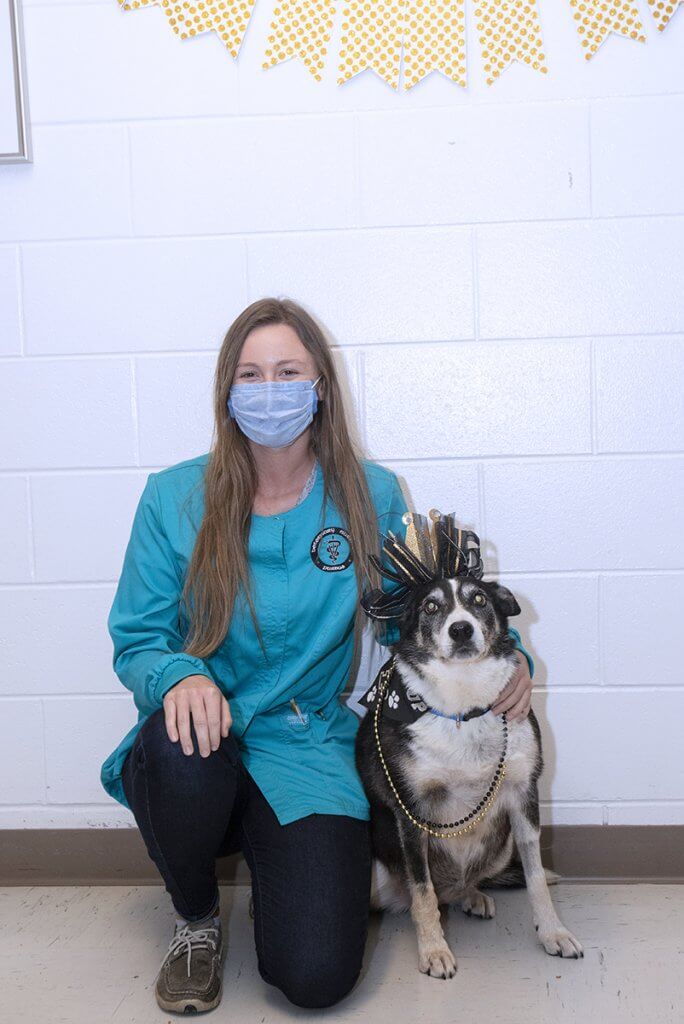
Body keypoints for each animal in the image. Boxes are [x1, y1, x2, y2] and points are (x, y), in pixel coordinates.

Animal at [356, 573, 585, 978]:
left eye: (479, 600)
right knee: (422, 895)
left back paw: (472, 895)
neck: (464, 705)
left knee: (462, 886)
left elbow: (536, 877)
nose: (461, 629)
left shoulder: (524, 796)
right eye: (431, 606)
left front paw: (553, 932)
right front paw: (434, 950)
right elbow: (422, 890)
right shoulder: (410, 814)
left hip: (502, 843)